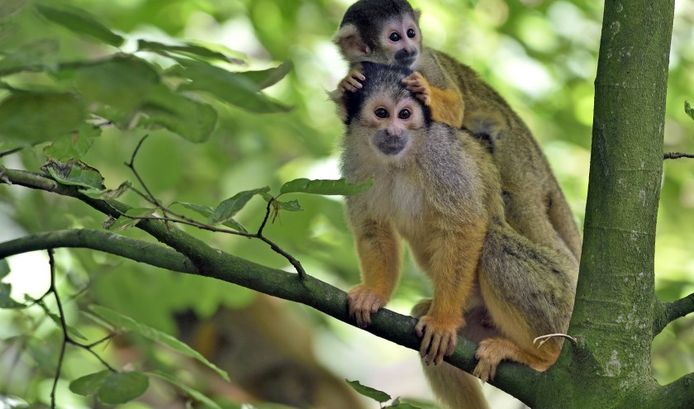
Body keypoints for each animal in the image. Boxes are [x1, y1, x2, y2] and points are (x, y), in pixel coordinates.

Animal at [334, 0, 584, 264]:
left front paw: (426, 91)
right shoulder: (361, 66)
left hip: (518, 159)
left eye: (411, 33)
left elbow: (455, 108)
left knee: (519, 202)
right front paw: (345, 84)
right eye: (394, 37)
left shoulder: (427, 62)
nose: (410, 48)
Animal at [334, 62, 580, 406]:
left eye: (405, 114)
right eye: (382, 113)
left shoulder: (442, 156)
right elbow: (372, 227)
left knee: (493, 243)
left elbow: (465, 225)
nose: (394, 132)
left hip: (560, 301)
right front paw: (374, 293)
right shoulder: (355, 162)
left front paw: (442, 322)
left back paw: (545, 359)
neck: (399, 159)